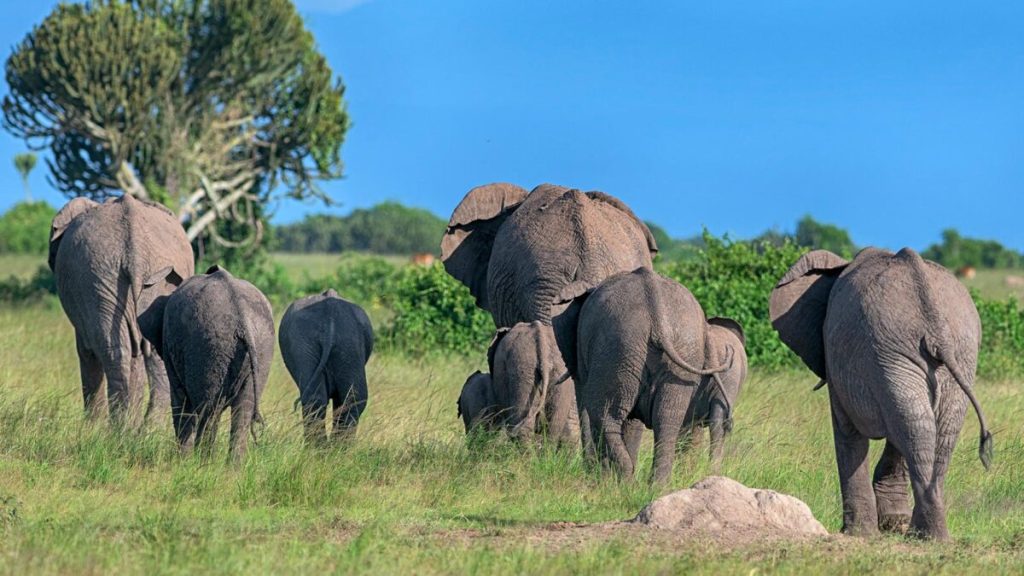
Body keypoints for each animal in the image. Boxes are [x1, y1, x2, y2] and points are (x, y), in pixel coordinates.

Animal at [49, 194, 194, 428]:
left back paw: (119, 429)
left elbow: (86, 352)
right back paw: (144, 430)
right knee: (149, 351)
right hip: (128, 278)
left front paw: (91, 429)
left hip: (97, 278)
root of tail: (136, 249)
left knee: (114, 350)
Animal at [139, 265, 274, 462]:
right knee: (242, 411)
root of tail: (242, 318)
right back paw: (231, 467)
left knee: (209, 410)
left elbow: (180, 400)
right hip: (262, 346)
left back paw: (202, 463)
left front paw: (182, 461)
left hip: (208, 346)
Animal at [569, 268, 735, 485]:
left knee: (604, 414)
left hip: (619, 348)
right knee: (667, 419)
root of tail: (657, 317)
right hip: (676, 353)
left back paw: (627, 478)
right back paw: (652, 485)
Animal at [770, 247, 993, 540]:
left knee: (918, 426)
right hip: (949, 353)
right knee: (929, 428)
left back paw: (923, 533)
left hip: (895, 350)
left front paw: (858, 534)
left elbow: (847, 430)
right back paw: (930, 534)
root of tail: (936, 327)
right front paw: (890, 524)